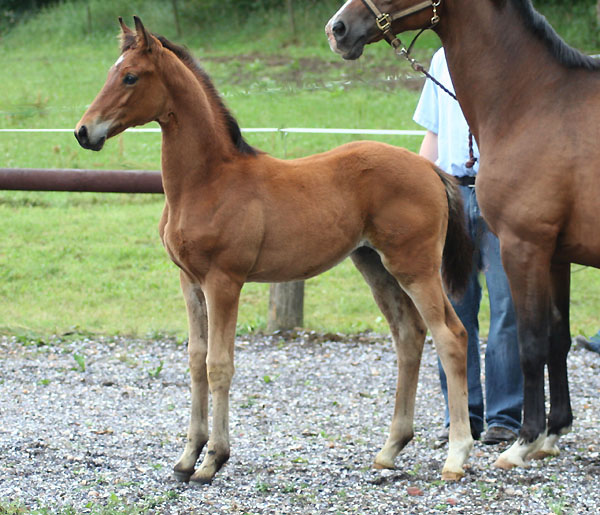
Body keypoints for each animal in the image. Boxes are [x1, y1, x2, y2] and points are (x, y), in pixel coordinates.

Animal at [75, 16, 476, 484]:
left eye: (130, 76)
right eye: (112, 72)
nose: (84, 132)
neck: (205, 181)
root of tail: (431, 169)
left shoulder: (223, 282)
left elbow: (218, 364)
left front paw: (213, 459)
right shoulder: (189, 281)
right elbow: (195, 360)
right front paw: (187, 457)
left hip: (416, 267)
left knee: (451, 336)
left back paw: (456, 456)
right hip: (375, 266)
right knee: (409, 337)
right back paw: (389, 450)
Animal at [328, 0, 600, 472]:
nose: (338, 29)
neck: (536, 102)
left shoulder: (524, 246)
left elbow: (530, 344)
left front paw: (523, 441)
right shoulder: (555, 254)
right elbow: (557, 337)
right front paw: (553, 432)